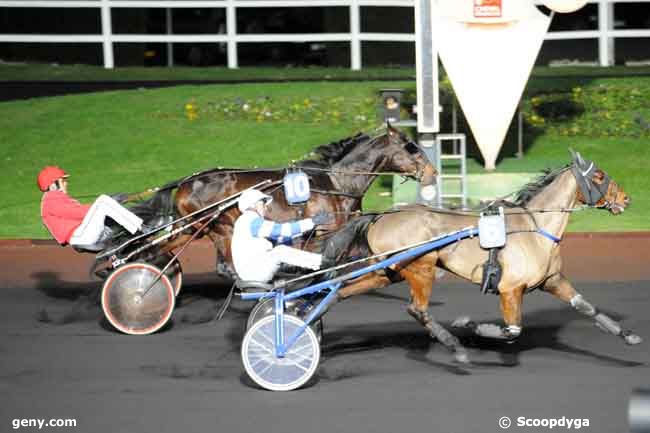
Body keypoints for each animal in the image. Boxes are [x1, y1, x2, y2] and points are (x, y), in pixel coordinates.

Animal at [322, 150, 636, 362]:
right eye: (599, 176)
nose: (626, 199)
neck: (535, 226)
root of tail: (381, 216)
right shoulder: (510, 289)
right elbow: (512, 331)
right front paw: (470, 326)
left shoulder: (553, 280)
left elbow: (586, 307)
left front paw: (628, 335)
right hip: (421, 267)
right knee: (417, 309)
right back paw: (455, 346)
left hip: (389, 272)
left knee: (342, 291)